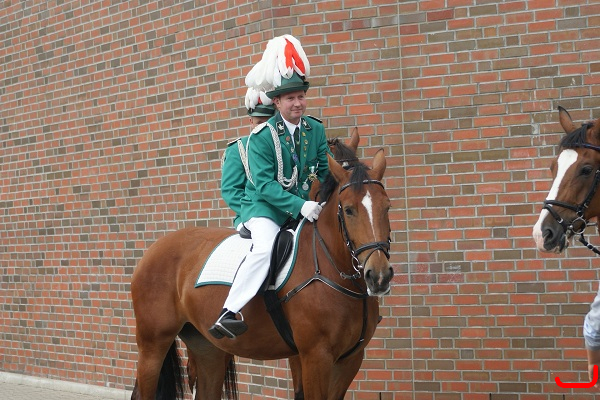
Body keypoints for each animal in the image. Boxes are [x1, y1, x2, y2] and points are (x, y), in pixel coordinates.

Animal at [130, 145, 393, 399]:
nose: (379, 276)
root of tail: (155, 247)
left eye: (387, 207)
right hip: (153, 344)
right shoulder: (315, 356)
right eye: (348, 210)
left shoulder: (350, 360)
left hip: (207, 347)